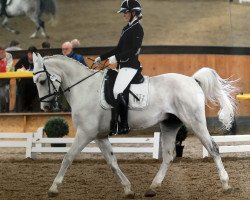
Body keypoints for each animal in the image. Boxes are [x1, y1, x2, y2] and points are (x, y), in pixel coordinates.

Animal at [32, 53, 237, 198]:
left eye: (42, 81)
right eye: (35, 82)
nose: (45, 107)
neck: (84, 88)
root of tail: (192, 80)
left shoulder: (85, 133)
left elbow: (68, 157)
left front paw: (53, 188)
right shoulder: (99, 136)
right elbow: (112, 162)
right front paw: (128, 189)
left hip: (194, 122)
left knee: (213, 148)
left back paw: (226, 184)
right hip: (169, 125)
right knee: (168, 156)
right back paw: (152, 188)